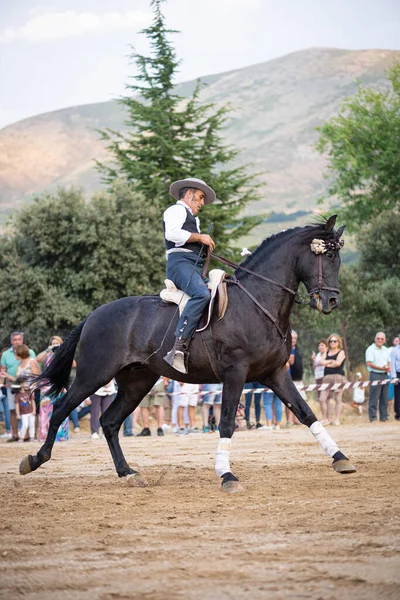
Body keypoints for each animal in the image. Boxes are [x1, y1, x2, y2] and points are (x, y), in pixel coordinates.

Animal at [19, 216, 356, 492]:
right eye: (327, 255)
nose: (331, 301)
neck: (258, 303)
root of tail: (93, 315)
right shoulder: (235, 373)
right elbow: (227, 423)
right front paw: (227, 475)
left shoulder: (274, 374)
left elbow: (306, 412)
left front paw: (340, 458)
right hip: (94, 375)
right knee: (61, 408)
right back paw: (35, 459)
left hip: (136, 383)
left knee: (109, 422)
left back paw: (127, 472)